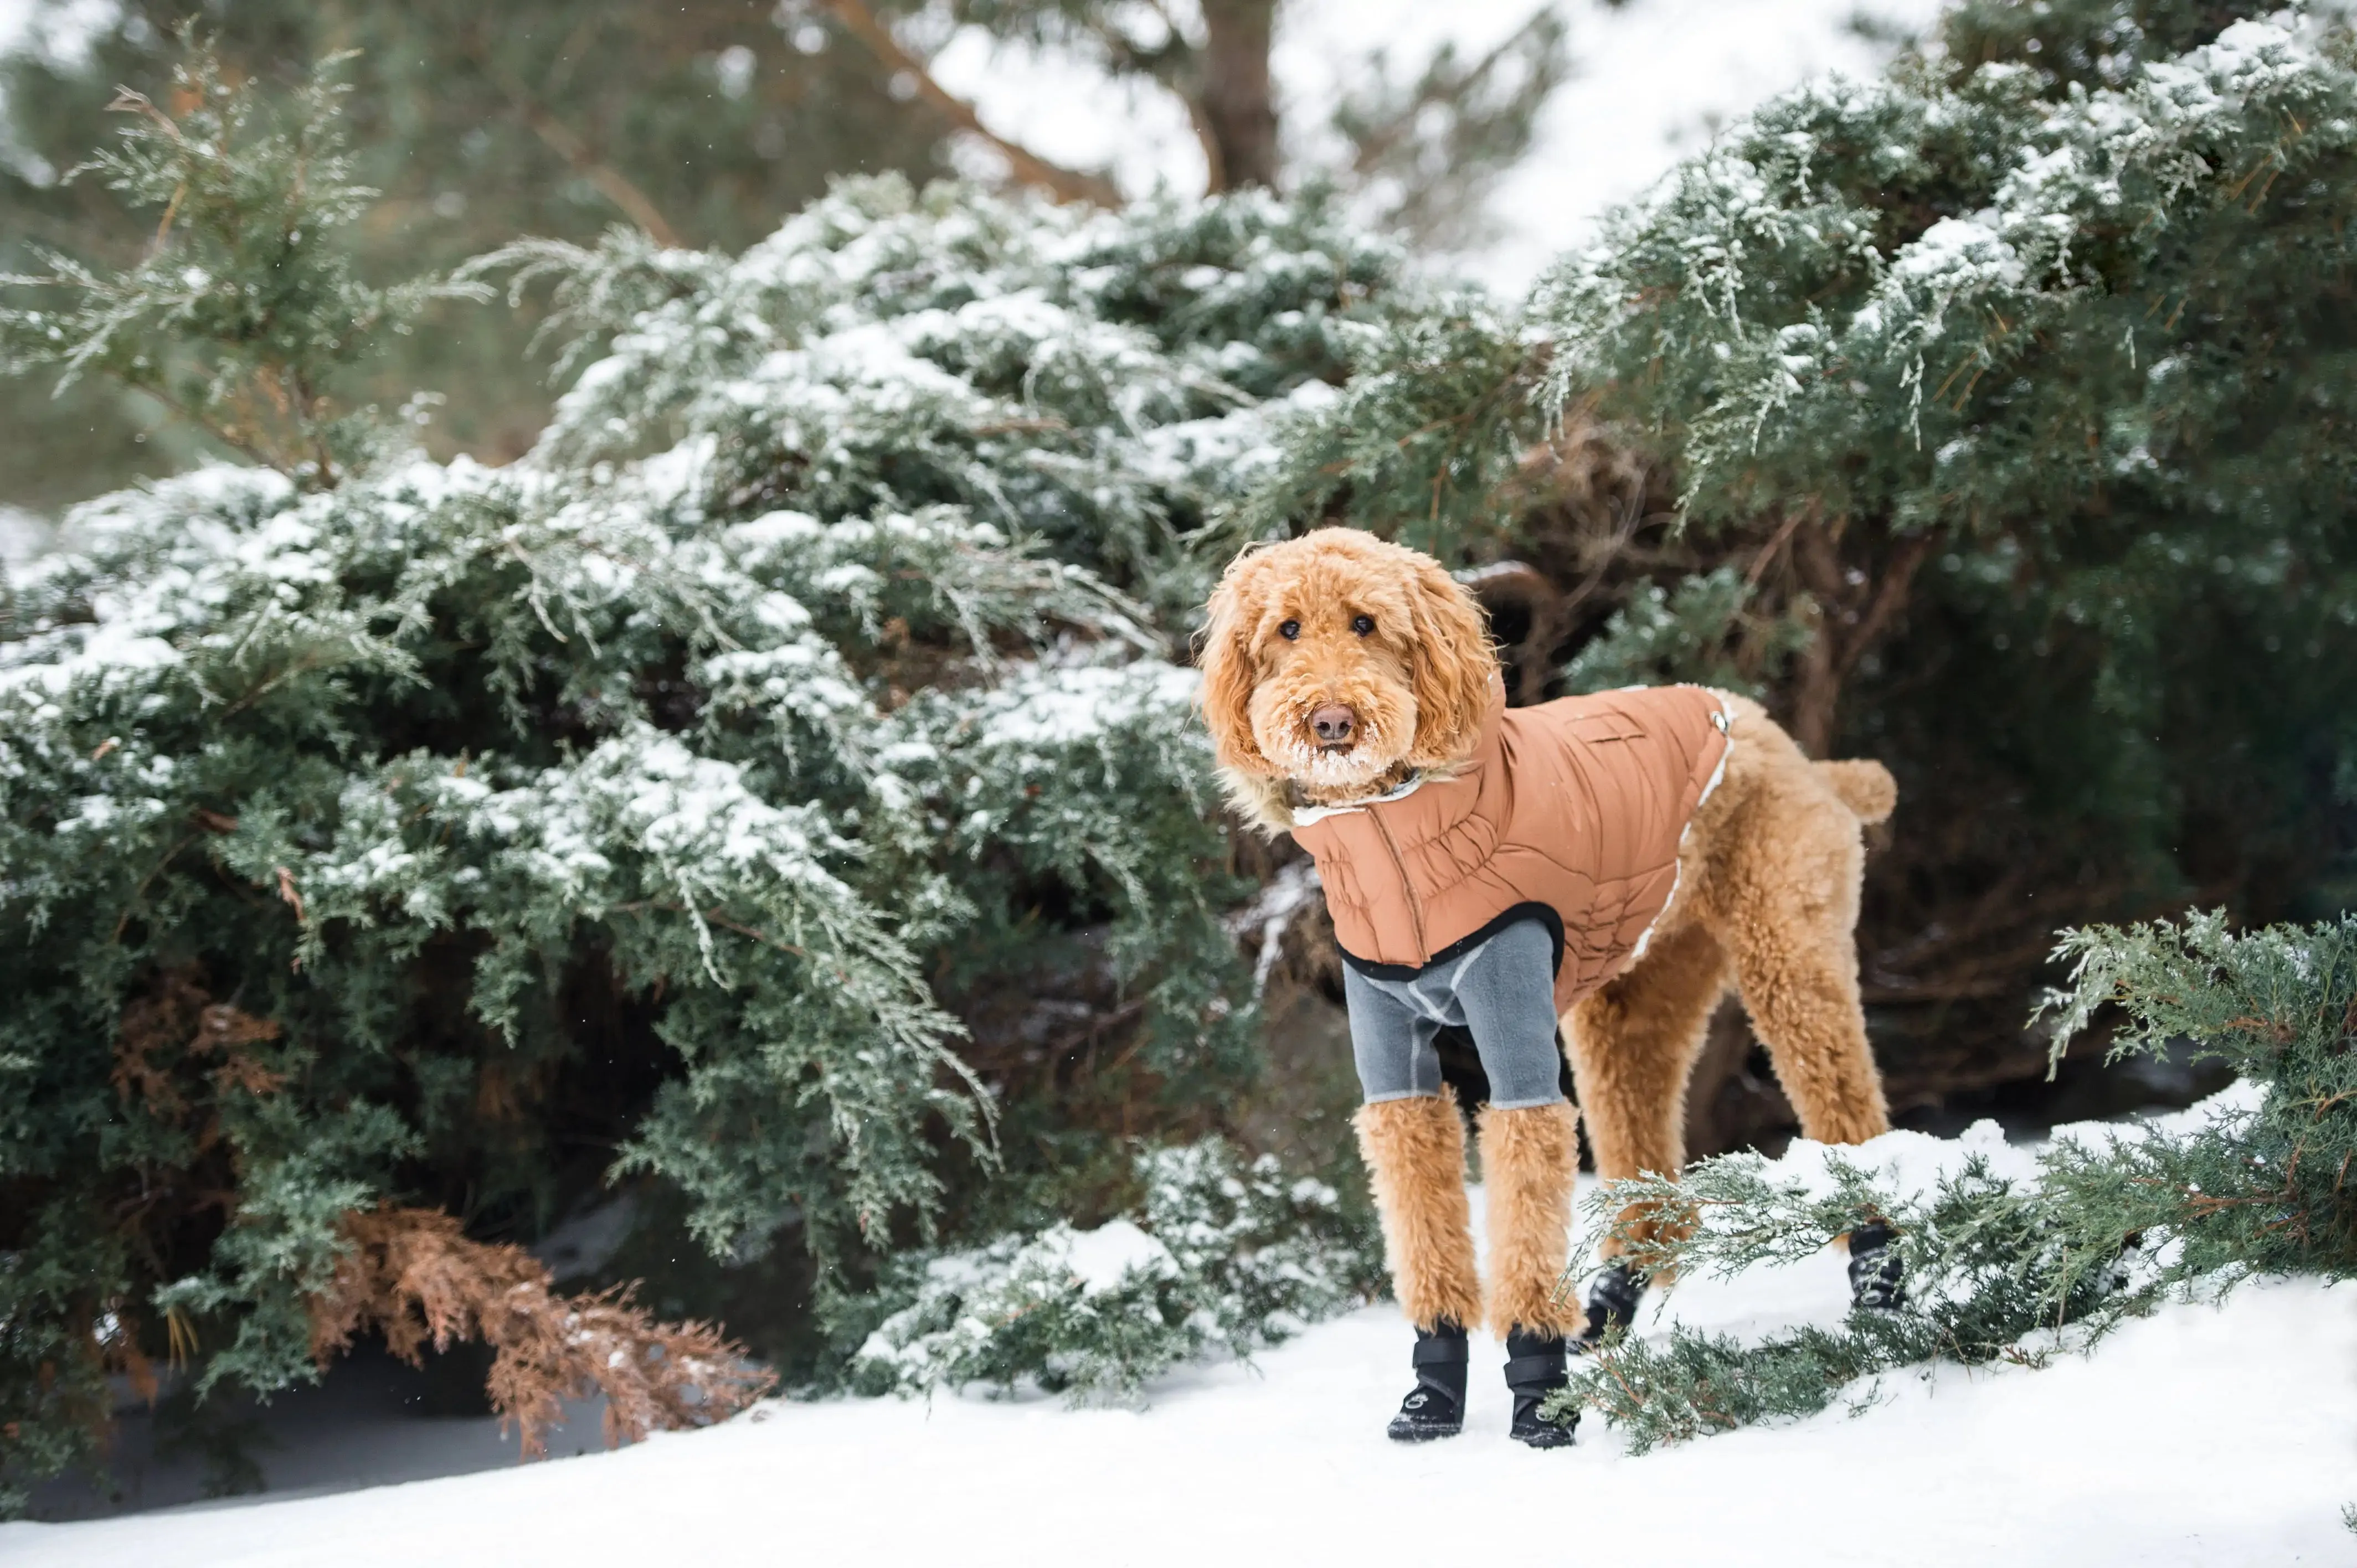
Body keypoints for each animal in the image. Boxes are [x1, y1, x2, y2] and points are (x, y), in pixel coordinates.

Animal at [1207, 525, 1904, 1443]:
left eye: (1366, 623)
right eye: (1286, 630)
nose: (1331, 720)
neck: (1396, 840)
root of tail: (1786, 744)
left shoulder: (1517, 1050)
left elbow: (1527, 1201)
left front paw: (1538, 1390)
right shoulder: (1394, 1065)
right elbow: (1422, 1216)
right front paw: (1435, 1391)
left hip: (1789, 954)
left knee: (1852, 1119)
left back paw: (1881, 1286)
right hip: (1630, 1005)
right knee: (1652, 1177)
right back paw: (1606, 1310)